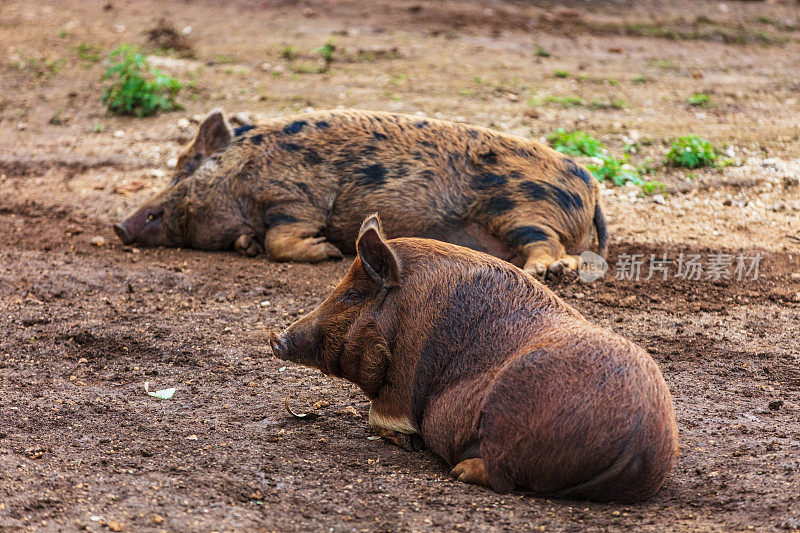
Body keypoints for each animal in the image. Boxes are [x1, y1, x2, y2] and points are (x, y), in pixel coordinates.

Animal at [115, 107, 608, 274]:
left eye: (184, 170)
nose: (120, 226)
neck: (241, 174)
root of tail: (593, 190)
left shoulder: (298, 197)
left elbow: (283, 237)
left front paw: (329, 250)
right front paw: (248, 246)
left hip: (523, 211)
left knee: (551, 246)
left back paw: (542, 273)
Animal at [272, 214, 680, 500]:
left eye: (353, 294)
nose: (277, 339)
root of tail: (639, 441)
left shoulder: (406, 369)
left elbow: (386, 418)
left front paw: (407, 442)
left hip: (511, 419)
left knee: (502, 478)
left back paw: (461, 471)